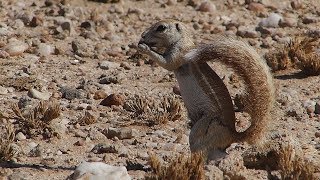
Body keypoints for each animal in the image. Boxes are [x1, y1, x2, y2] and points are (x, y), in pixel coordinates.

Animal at [138, 18, 276, 159]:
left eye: (161, 27)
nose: (142, 35)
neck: (182, 39)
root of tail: (233, 135)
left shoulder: (179, 54)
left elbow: (167, 64)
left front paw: (144, 48)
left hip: (205, 126)